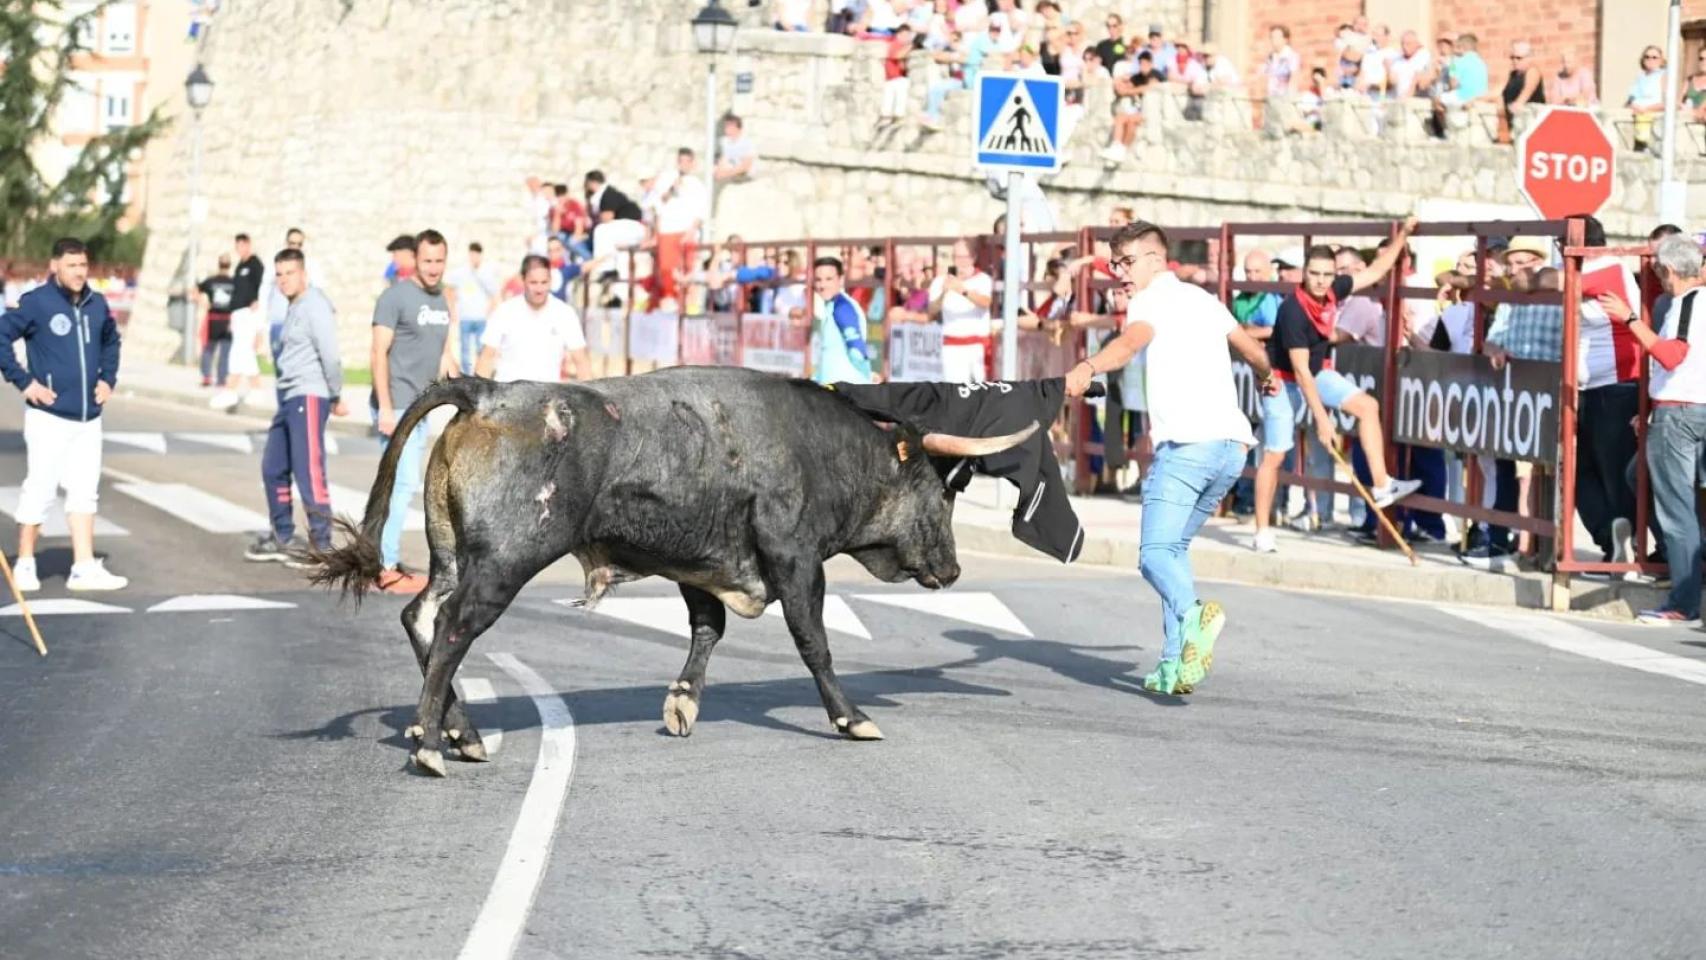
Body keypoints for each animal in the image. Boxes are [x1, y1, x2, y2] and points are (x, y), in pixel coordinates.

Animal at [310, 364, 1037, 777]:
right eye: (943, 493)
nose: (953, 567)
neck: (827, 449)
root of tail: (488, 393)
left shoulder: (700, 562)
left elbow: (708, 627)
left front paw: (682, 701)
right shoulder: (796, 558)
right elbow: (814, 643)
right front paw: (850, 717)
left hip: (451, 556)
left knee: (420, 614)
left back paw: (459, 733)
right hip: (504, 562)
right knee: (454, 629)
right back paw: (433, 744)